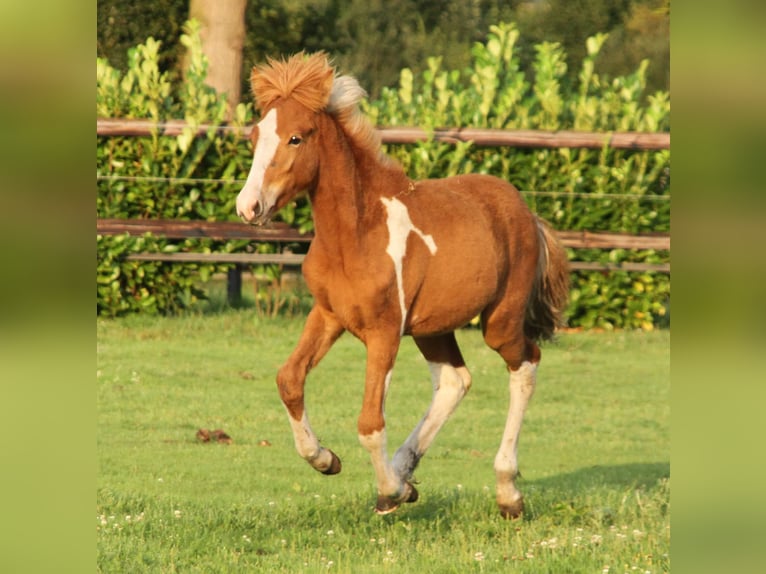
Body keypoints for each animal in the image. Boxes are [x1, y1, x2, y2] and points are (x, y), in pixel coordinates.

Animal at [235, 52, 569, 518]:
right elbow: (290, 379)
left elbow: (370, 421)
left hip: (500, 321)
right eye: (255, 136)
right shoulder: (328, 315)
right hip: (434, 326)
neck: (356, 236)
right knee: (455, 381)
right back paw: (406, 472)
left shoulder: (384, 331)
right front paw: (327, 460)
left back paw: (507, 492)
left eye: (296, 139)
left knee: (525, 365)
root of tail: (526, 210)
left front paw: (388, 493)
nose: (249, 207)